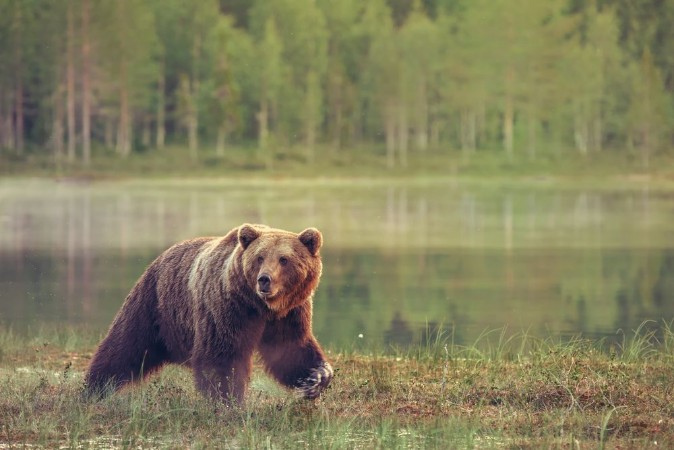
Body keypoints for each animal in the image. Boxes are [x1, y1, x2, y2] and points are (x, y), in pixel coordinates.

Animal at [85, 223, 333, 404]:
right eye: (260, 257)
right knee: (124, 346)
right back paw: (93, 389)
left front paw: (317, 376)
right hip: (154, 304)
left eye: (284, 259)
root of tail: (162, 255)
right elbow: (221, 355)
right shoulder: (227, 308)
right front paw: (228, 401)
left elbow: (291, 349)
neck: (260, 306)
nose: (264, 280)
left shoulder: (290, 313)